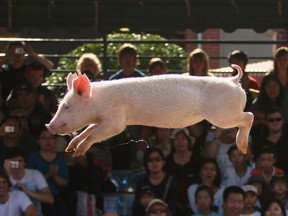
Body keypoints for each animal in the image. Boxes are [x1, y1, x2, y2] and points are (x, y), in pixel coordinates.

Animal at [46, 63, 253, 156]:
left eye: (67, 106)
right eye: (60, 104)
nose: (48, 126)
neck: (98, 101)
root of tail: (233, 80)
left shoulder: (115, 119)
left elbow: (100, 133)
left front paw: (78, 152)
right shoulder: (102, 119)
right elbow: (89, 129)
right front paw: (70, 149)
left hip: (223, 116)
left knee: (249, 116)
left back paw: (243, 147)